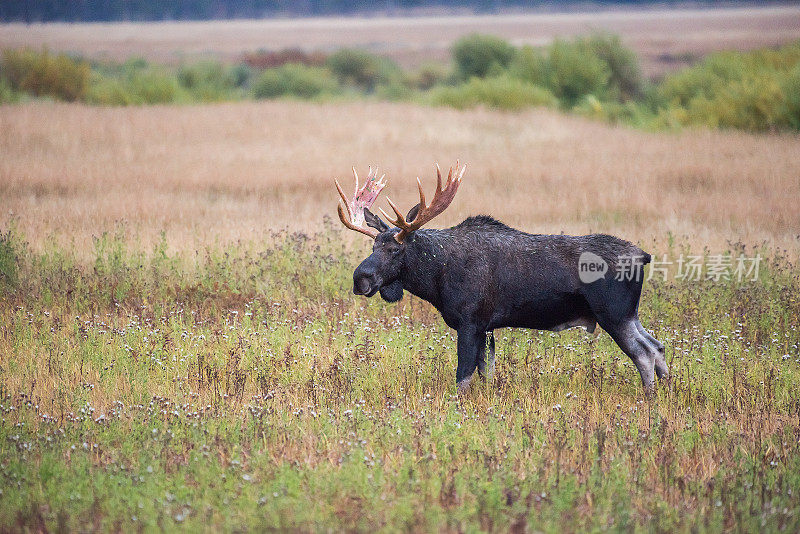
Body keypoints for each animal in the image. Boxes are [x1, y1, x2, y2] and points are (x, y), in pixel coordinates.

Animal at [336, 163, 668, 394]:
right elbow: (486, 373)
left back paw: (649, 397)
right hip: (629, 314)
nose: (360, 279)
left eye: (395, 249)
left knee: (644, 353)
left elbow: (463, 377)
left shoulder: (471, 321)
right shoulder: (488, 327)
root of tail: (644, 256)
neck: (436, 278)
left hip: (613, 314)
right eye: (373, 246)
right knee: (659, 346)